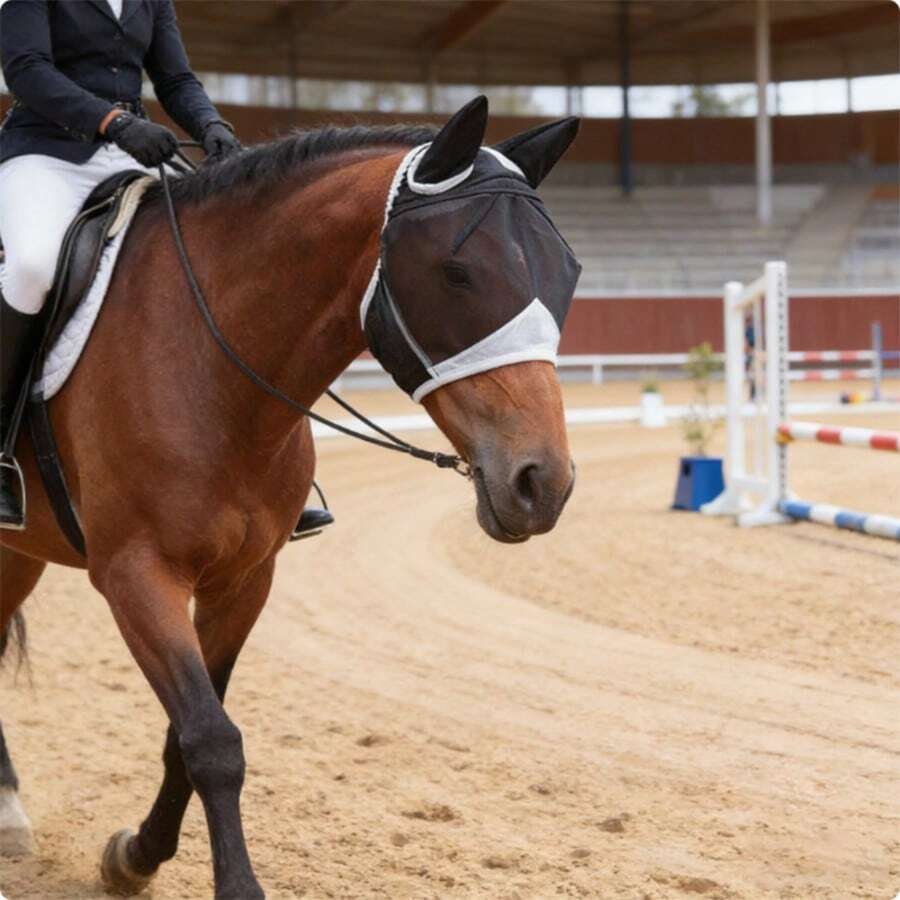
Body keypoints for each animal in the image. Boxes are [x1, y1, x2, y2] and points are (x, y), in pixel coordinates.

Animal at [0, 96, 579, 898]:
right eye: (456, 272)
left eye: (567, 272)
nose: (542, 484)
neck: (210, 361)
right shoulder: (136, 574)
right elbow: (212, 740)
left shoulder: (245, 578)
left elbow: (189, 735)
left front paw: (136, 855)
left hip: (23, 549)